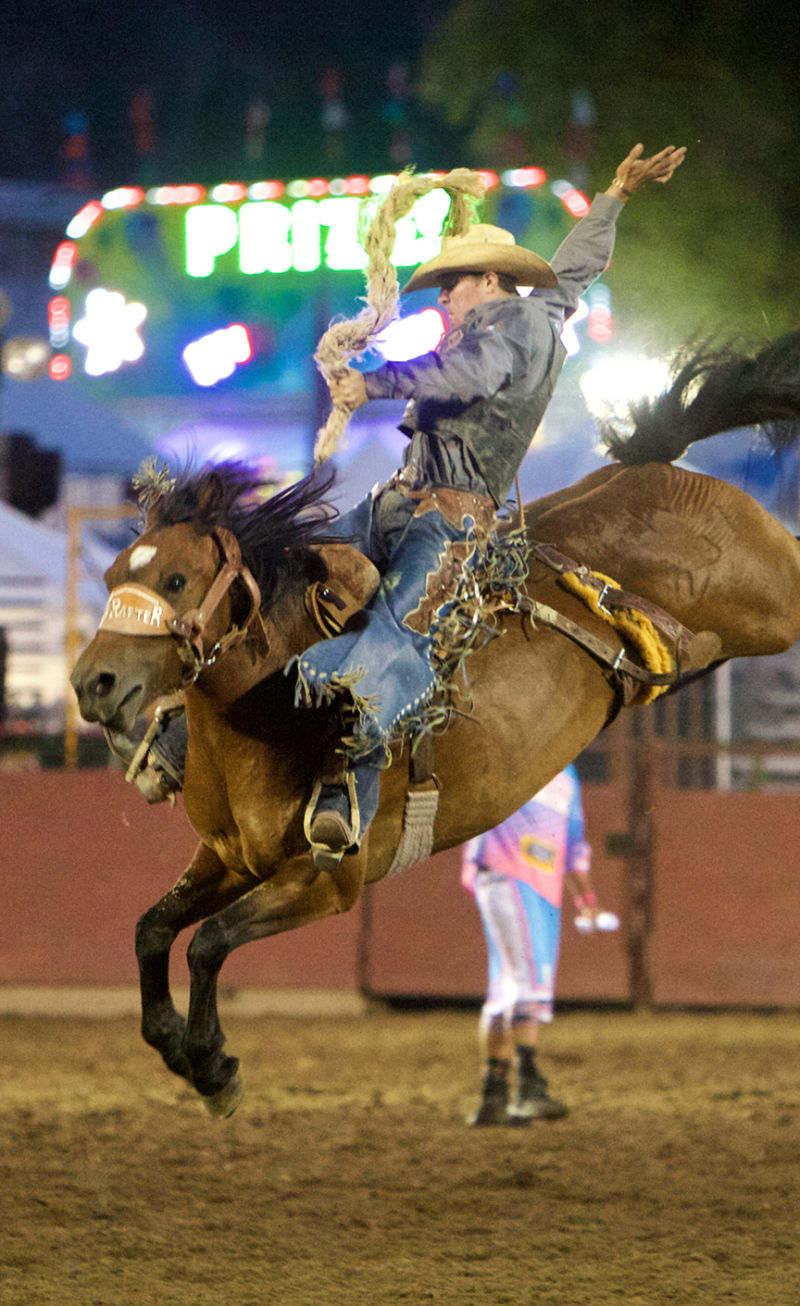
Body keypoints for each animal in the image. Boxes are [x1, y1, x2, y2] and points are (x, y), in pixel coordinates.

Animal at [71, 329, 798, 1112]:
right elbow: (153, 930)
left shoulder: (328, 882)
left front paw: (212, 1066)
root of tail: (664, 470)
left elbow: (207, 943)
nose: (90, 683)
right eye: (112, 576)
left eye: (176, 580)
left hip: (778, 600)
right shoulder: (230, 858)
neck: (271, 715)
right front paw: (178, 1045)